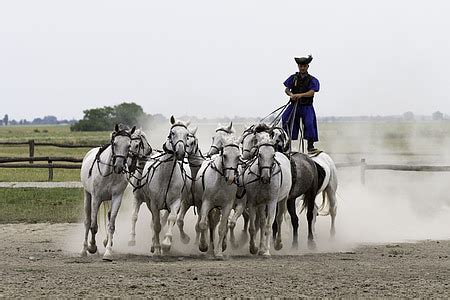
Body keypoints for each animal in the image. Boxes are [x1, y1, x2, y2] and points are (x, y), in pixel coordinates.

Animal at [80, 124, 135, 260]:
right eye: (114, 143)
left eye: (129, 145)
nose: (119, 167)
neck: (109, 173)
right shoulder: (96, 198)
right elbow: (93, 226)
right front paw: (92, 247)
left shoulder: (116, 198)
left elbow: (111, 225)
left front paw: (108, 251)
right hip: (87, 195)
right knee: (87, 222)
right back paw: (84, 250)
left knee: (109, 217)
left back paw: (106, 242)